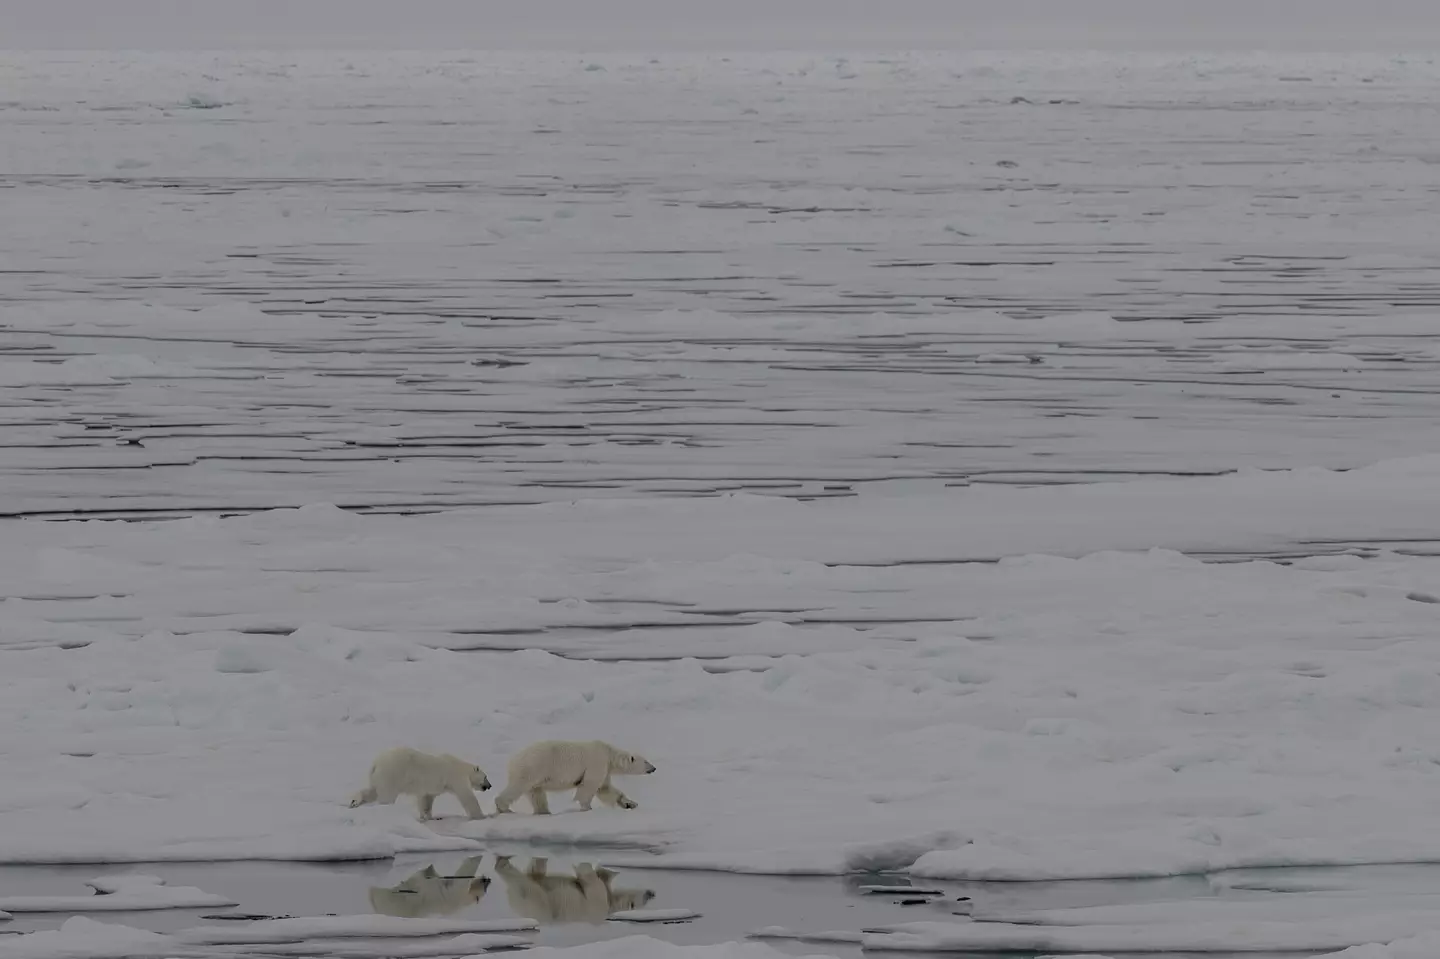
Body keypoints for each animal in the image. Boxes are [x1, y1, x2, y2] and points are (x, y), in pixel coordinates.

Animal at [348, 746, 491, 821]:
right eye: (485, 777)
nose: (490, 786)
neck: (461, 767)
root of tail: (376, 763)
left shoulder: (432, 787)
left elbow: (427, 798)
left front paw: (428, 816)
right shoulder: (455, 777)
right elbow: (467, 796)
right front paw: (481, 816)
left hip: (379, 777)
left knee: (373, 791)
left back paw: (354, 802)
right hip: (392, 774)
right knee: (386, 796)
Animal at [493, 739, 654, 815]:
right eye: (646, 761)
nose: (654, 768)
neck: (609, 753)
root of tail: (512, 761)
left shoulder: (604, 769)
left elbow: (605, 789)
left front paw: (630, 803)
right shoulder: (596, 763)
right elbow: (588, 786)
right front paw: (587, 808)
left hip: (535, 776)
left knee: (537, 794)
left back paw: (544, 812)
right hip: (531, 768)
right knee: (517, 787)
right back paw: (504, 808)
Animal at [493, 856, 655, 924]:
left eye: (633, 905)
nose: (651, 893)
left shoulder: (595, 906)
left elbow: (593, 886)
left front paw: (584, 867)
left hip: (541, 906)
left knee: (527, 887)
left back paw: (503, 864)